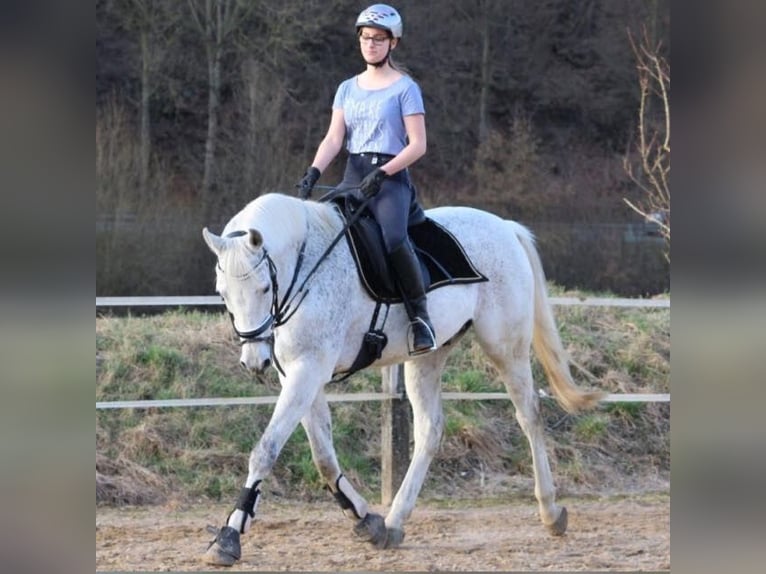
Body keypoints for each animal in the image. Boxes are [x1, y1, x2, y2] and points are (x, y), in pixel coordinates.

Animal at [201, 192, 604, 568]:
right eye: (223, 293)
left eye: (263, 289)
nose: (254, 362)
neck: (305, 268)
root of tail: (504, 226)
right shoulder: (300, 374)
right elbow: (324, 457)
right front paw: (365, 520)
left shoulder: (309, 370)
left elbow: (266, 450)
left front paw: (229, 536)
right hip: (428, 358)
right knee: (430, 429)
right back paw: (394, 522)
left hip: (506, 347)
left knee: (529, 415)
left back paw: (550, 512)